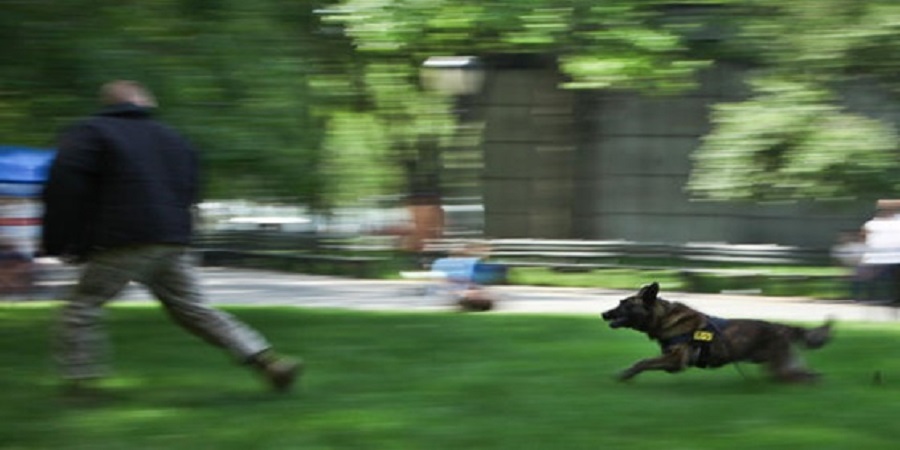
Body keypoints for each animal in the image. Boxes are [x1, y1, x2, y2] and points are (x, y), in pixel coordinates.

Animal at [600, 282, 832, 384]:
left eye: (624, 305)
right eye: (619, 302)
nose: (603, 314)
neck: (663, 317)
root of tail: (784, 328)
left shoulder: (676, 360)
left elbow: (643, 362)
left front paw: (627, 374)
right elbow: (644, 362)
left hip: (779, 368)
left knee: (806, 378)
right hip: (782, 367)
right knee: (811, 375)